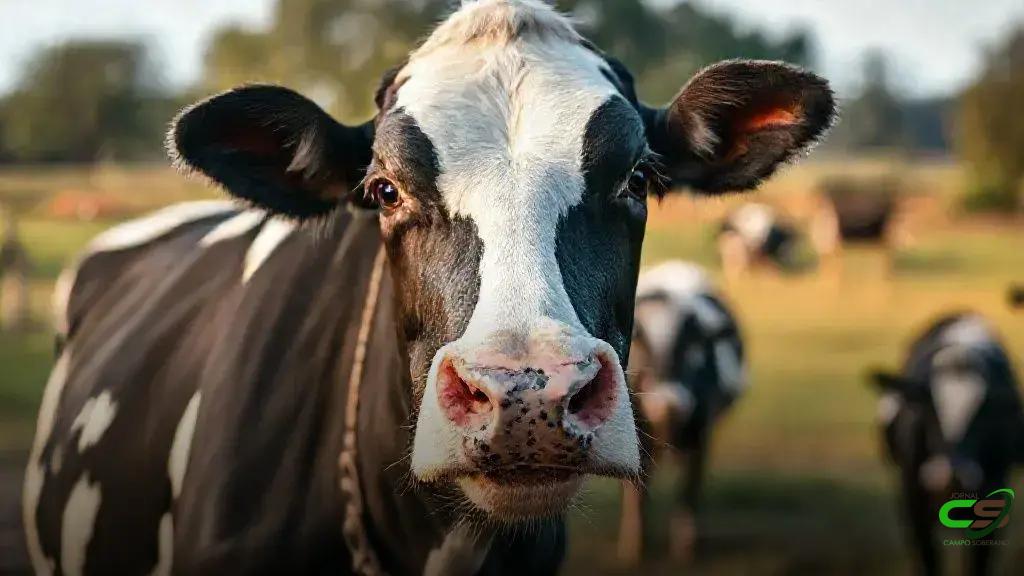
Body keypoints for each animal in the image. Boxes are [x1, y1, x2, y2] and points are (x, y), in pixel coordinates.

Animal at [616, 261, 745, 563]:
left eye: (692, 347)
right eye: (643, 346)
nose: (669, 402)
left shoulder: (701, 435)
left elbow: (689, 490)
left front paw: (686, 549)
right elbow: (637, 492)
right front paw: (633, 548)